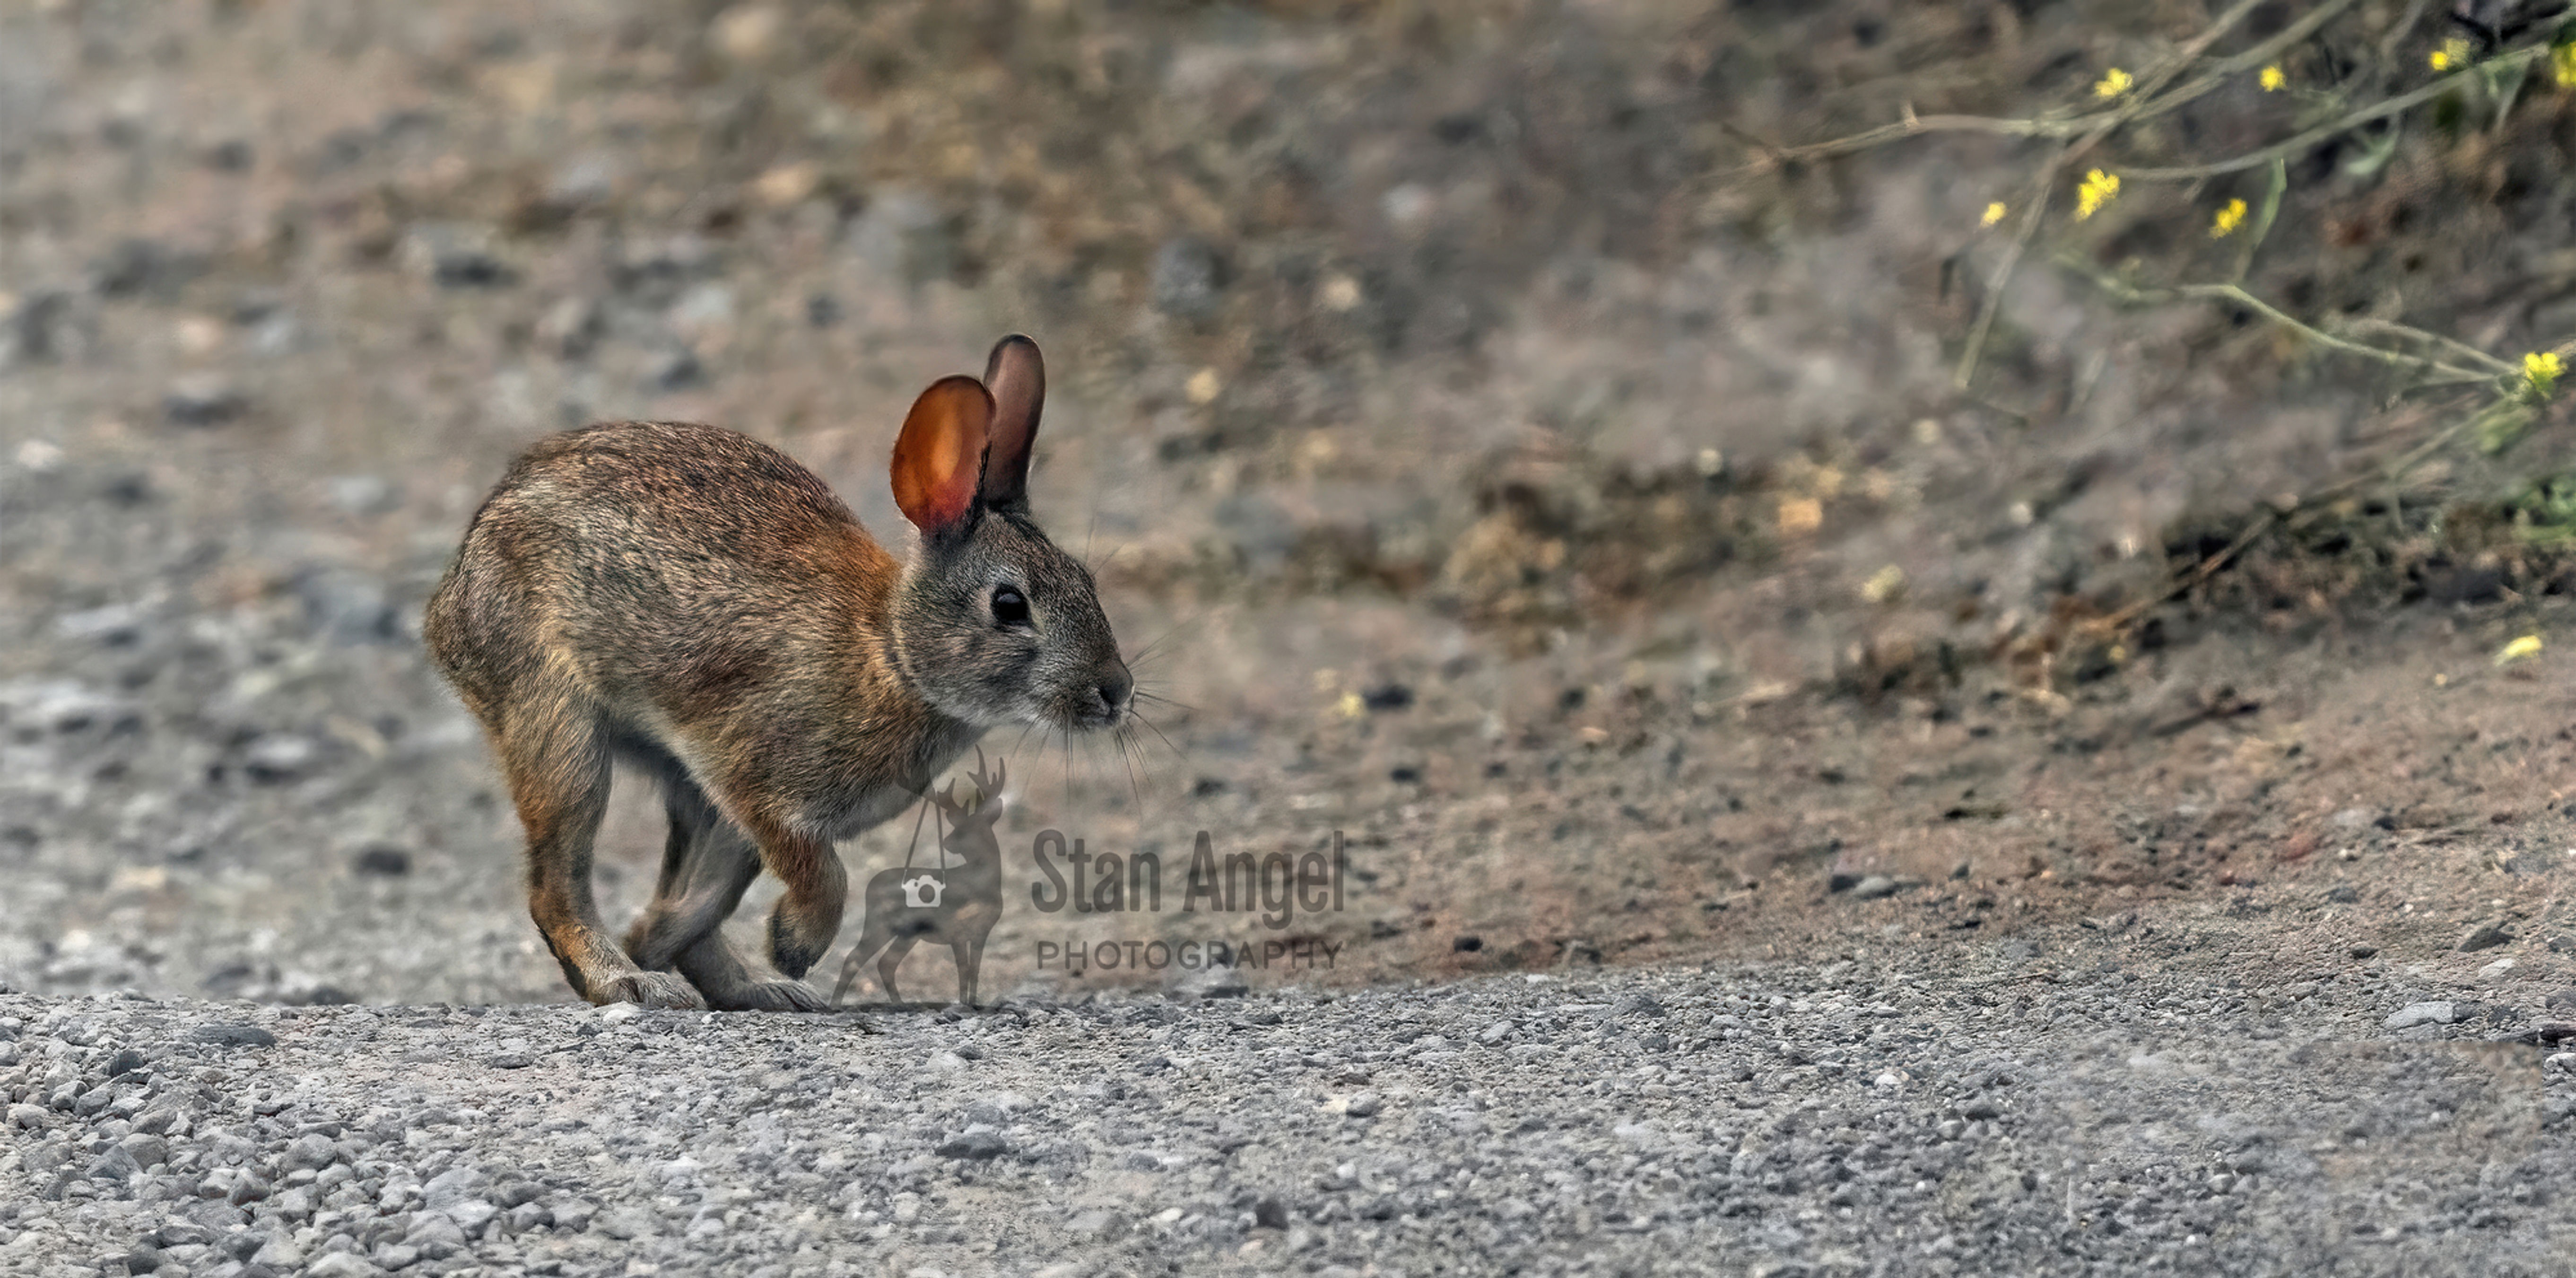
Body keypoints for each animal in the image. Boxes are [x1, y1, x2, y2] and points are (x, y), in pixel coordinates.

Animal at [422, 335, 1131, 1011]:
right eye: (1010, 605)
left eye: (1087, 582)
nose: (1115, 691)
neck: (892, 654)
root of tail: (450, 598)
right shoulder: (756, 782)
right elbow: (824, 877)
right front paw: (791, 946)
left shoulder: (731, 802)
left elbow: (712, 895)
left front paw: (669, 939)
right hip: (559, 729)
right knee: (555, 881)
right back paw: (629, 981)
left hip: (679, 780)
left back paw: (745, 987)